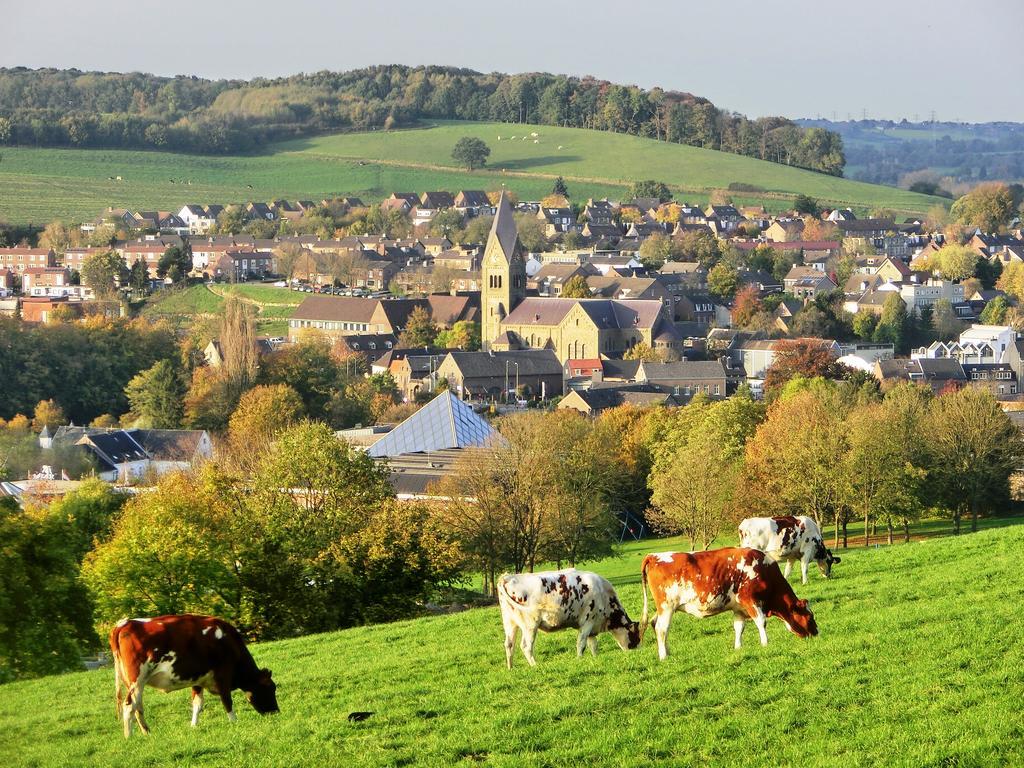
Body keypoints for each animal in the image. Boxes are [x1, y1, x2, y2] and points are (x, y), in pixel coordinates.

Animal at [110, 618, 278, 737]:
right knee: (129, 706)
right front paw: (234, 722)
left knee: (138, 706)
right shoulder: (223, 675)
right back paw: (129, 737)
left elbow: (197, 704)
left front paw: (193, 726)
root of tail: (124, 623)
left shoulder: (198, 679)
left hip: (134, 682)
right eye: (270, 689)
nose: (276, 712)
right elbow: (227, 701)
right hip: (137, 679)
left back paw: (147, 733)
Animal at [495, 569, 638, 671]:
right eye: (635, 636)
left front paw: (595, 658)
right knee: (526, 646)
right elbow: (581, 644)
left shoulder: (592, 626)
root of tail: (507, 577)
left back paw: (510, 668)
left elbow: (593, 645)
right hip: (530, 625)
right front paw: (579, 659)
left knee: (509, 644)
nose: (635, 652)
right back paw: (535, 665)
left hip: (510, 623)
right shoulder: (587, 622)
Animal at [638, 548, 815, 663]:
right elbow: (761, 622)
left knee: (654, 623)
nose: (816, 633)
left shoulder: (739, 608)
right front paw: (765, 643)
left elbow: (739, 627)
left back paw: (667, 652)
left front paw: (738, 647)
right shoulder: (750, 600)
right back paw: (663, 656)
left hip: (663, 608)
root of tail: (654, 556)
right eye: (809, 617)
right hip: (667, 606)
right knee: (662, 628)